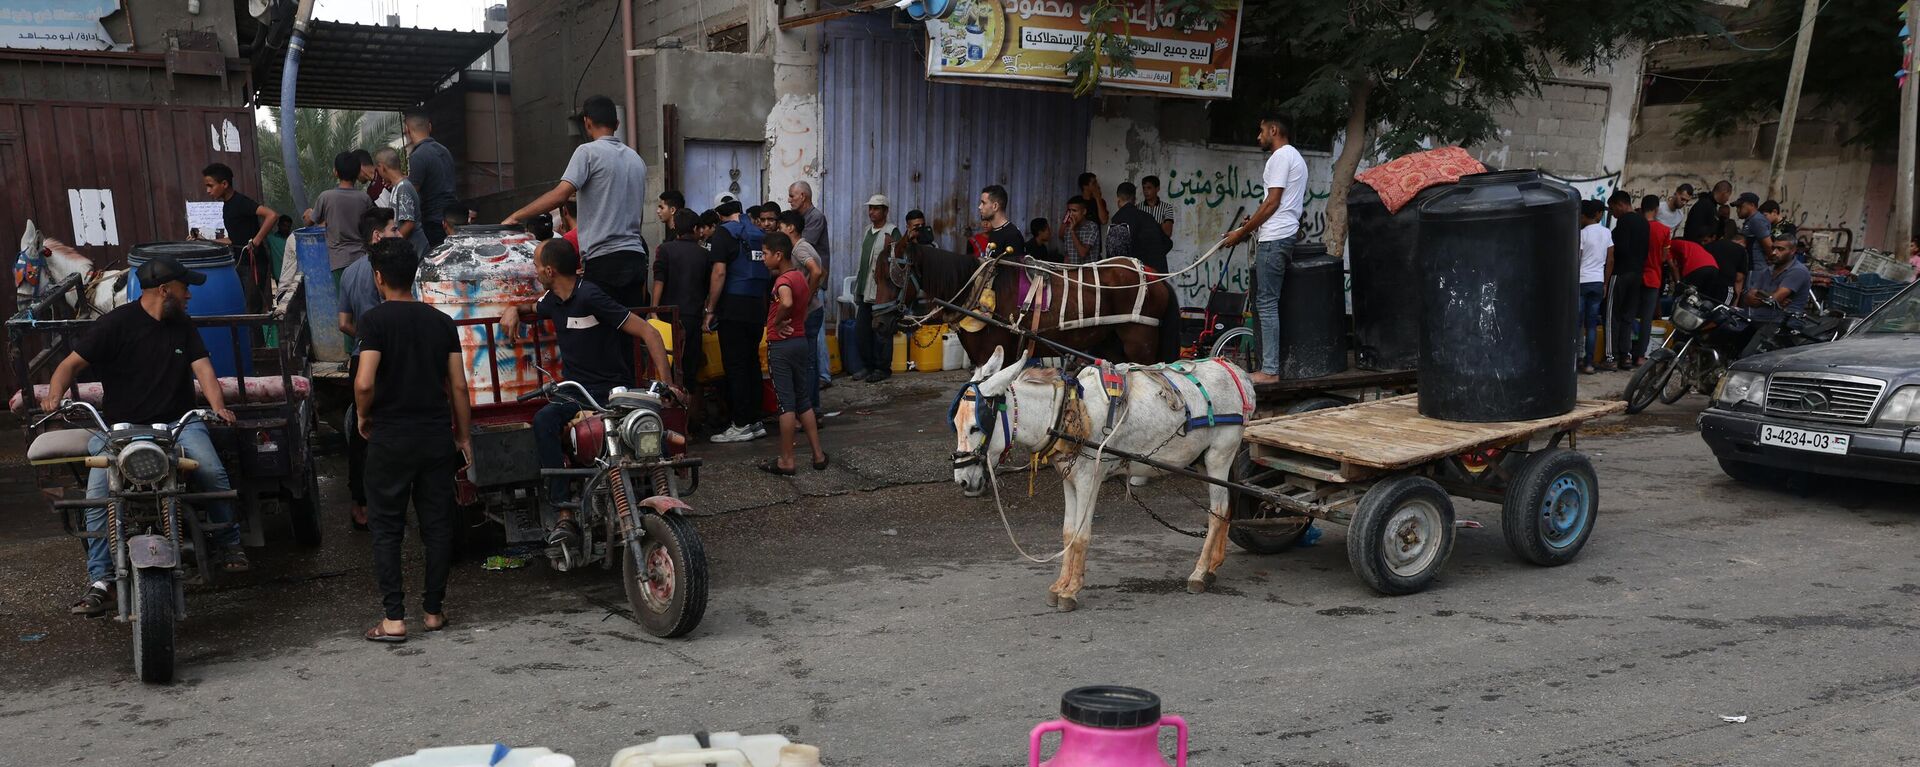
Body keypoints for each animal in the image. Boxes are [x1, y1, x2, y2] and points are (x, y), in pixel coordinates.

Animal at [894, 245, 1175, 367]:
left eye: (895, 273)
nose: (885, 320)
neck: (981, 286)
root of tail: (1153, 274)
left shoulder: (995, 354)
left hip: (1140, 341)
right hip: (1110, 342)